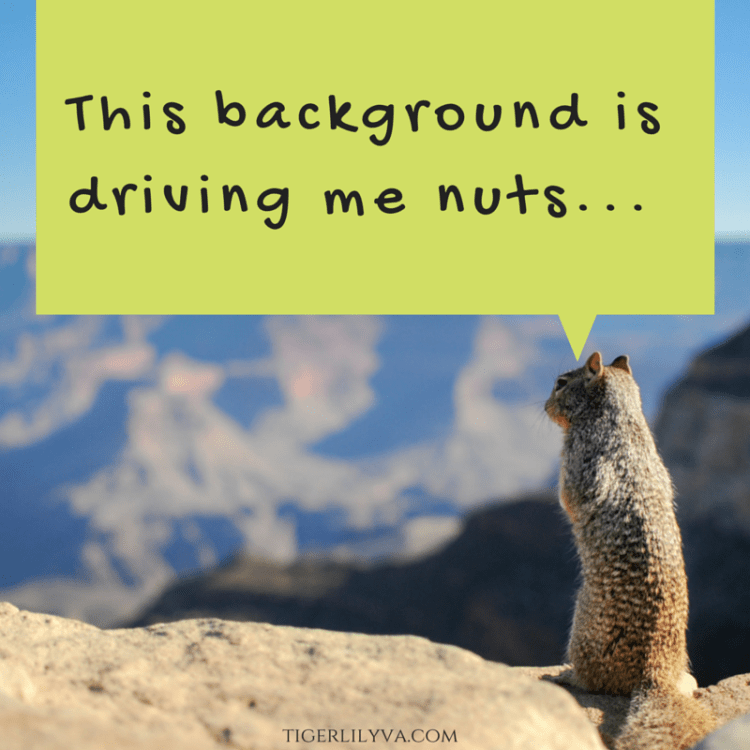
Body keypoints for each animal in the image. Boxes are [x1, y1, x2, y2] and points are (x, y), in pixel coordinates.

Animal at [545, 351, 715, 750]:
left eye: (561, 383)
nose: (544, 406)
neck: (621, 421)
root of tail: (655, 673)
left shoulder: (575, 460)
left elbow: (568, 498)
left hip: (582, 633)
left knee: (593, 681)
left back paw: (565, 676)